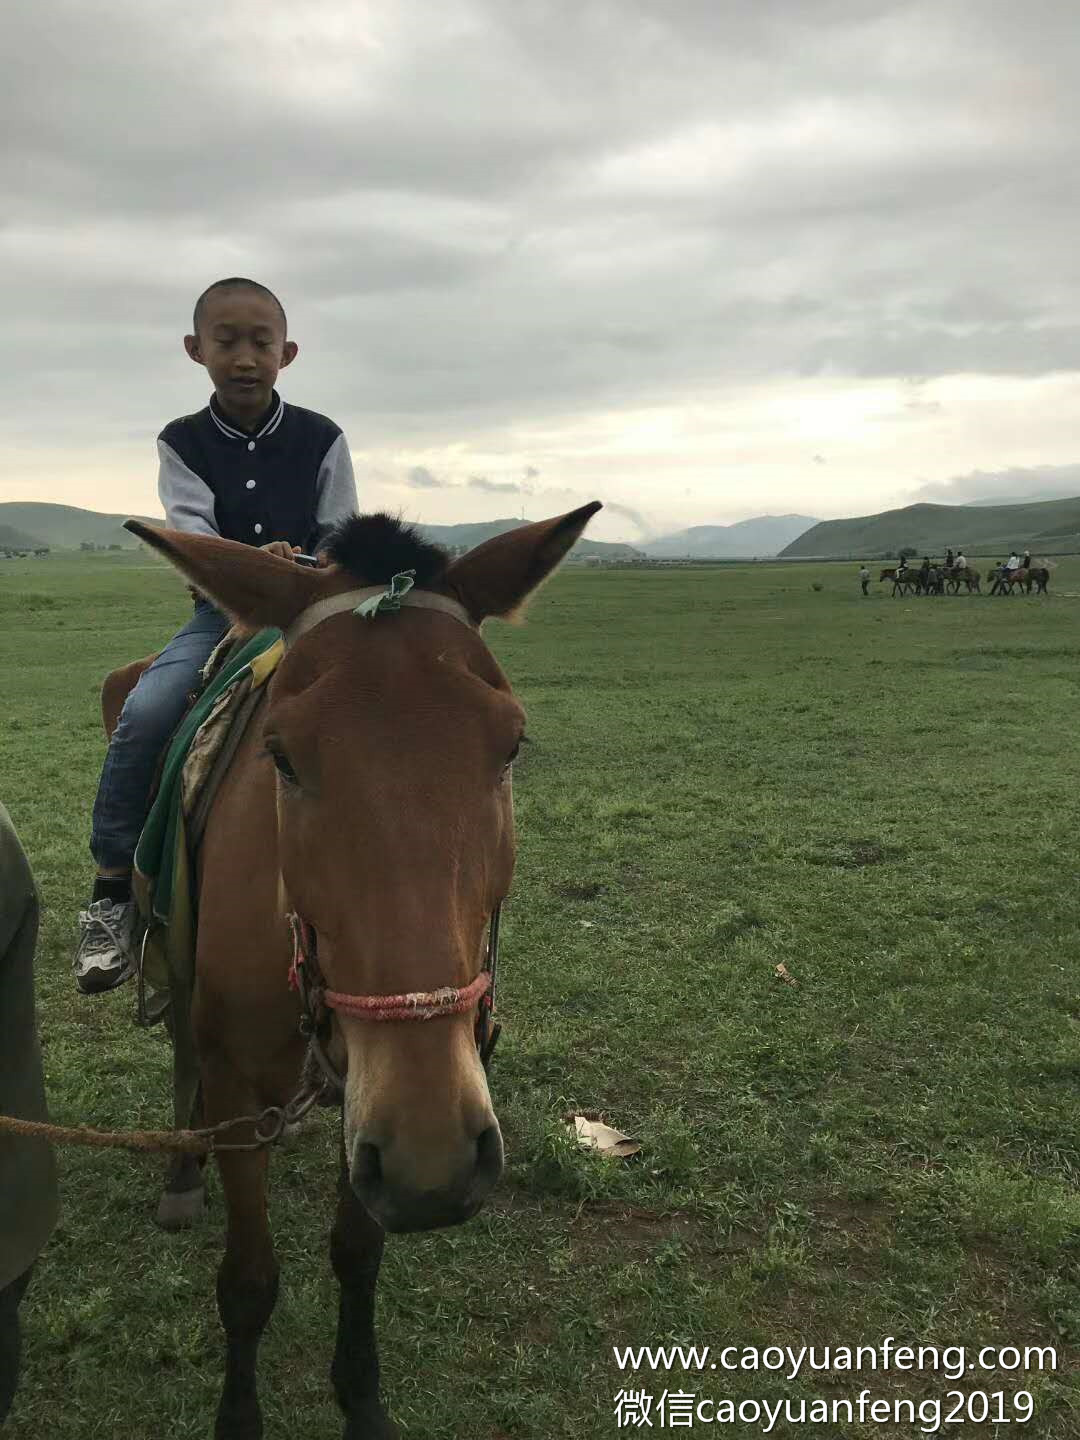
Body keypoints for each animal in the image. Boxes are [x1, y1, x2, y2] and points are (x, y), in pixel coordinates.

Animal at [106, 501, 604, 1434]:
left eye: (511, 746)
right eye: (281, 756)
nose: (435, 1160)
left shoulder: (372, 1097)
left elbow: (357, 1252)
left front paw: (363, 1400)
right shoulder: (240, 1086)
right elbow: (249, 1281)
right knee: (183, 1051)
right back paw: (184, 1173)